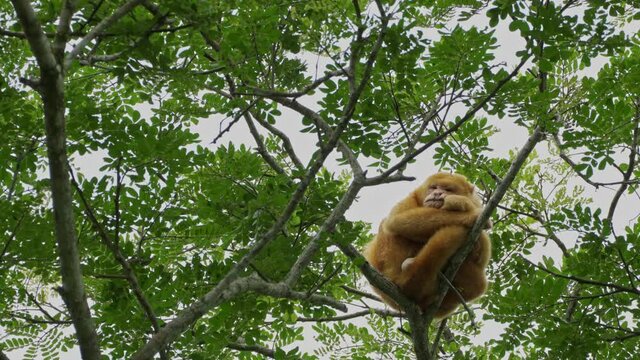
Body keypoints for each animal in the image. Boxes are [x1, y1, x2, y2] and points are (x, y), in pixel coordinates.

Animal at [362, 173, 492, 316]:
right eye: (433, 187)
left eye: (448, 189)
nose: (437, 193)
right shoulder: (410, 198)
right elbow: (396, 220)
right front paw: (470, 213)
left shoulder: (475, 201)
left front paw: (459, 202)